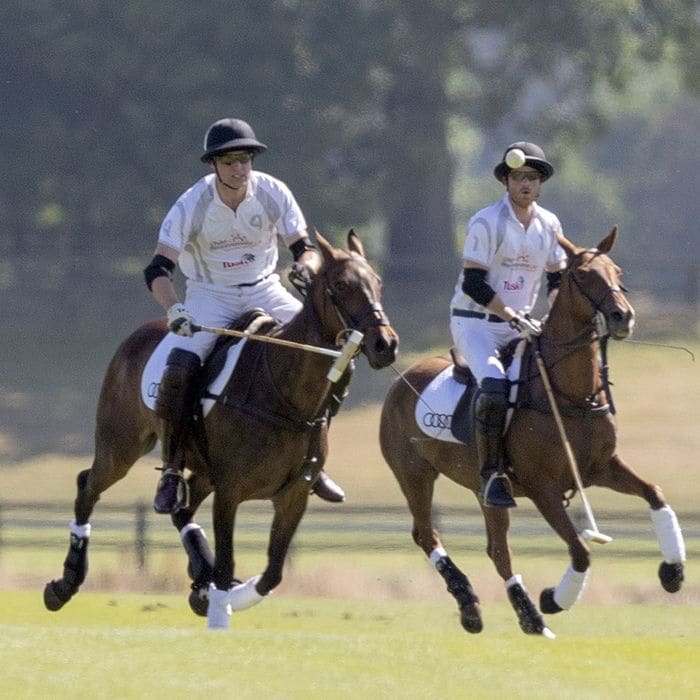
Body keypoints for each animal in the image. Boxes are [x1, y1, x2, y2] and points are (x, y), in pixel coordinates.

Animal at [45, 231, 400, 628]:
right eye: (341, 285)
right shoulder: (230, 491)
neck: (285, 396)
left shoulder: (293, 495)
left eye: (377, 282)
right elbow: (231, 561)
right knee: (88, 486)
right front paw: (222, 603)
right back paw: (66, 583)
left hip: (200, 471)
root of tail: (139, 333)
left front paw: (219, 594)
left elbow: (273, 573)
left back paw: (200, 577)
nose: (385, 344)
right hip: (120, 445)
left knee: (181, 510)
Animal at [380, 227, 688, 636]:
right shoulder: (544, 487)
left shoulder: (600, 468)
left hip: (485, 490)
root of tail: (403, 379)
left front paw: (673, 571)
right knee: (426, 534)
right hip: (413, 472)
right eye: (582, 275)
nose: (623, 316)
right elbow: (581, 550)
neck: (571, 394)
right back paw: (480, 607)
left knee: (497, 550)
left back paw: (522, 614)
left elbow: (655, 493)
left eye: (616, 271)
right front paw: (553, 599)